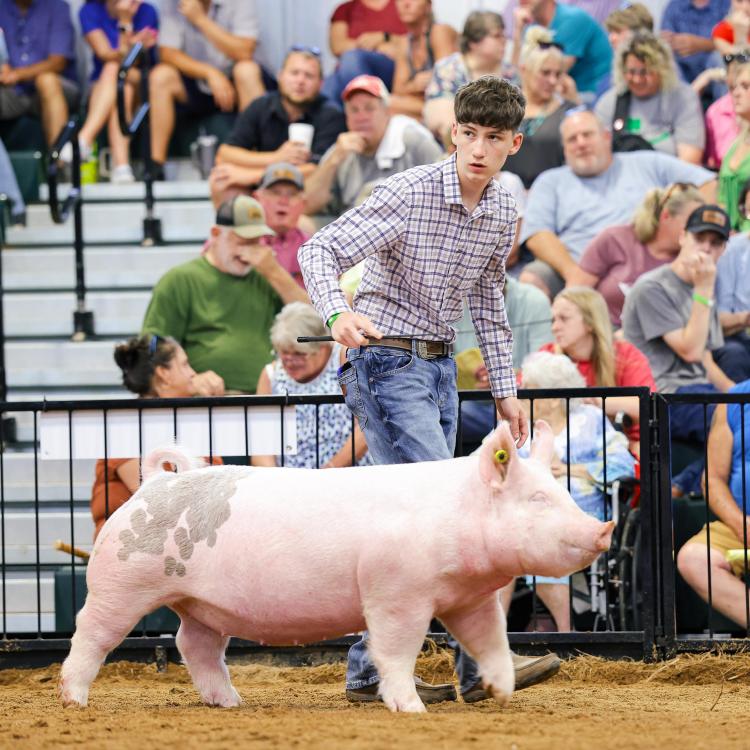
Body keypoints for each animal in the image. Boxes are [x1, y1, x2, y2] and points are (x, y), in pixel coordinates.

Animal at [59, 420, 614, 713]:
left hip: (198, 604)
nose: (603, 528)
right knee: (90, 635)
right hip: (121, 581)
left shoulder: (469, 597)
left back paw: (232, 703)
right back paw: (74, 701)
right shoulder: (395, 592)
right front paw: (412, 708)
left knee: (192, 644)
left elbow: (490, 639)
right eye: (538, 498)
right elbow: (396, 649)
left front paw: (502, 690)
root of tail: (156, 483)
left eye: (562, 492)